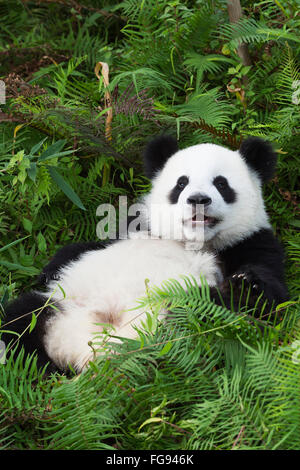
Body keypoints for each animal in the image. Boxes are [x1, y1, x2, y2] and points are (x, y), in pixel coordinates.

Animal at [1, 134, 288, 372]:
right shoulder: (135, 228)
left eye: (221, 183)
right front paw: (50, 268)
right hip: (59, 304)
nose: (198, 199)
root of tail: (85, 354)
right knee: (19, 320)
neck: (193, 241)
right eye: (181, 183)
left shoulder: (251, 241)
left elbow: (271, 299)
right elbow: (83, 249)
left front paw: (245, 282)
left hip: (173, 331)